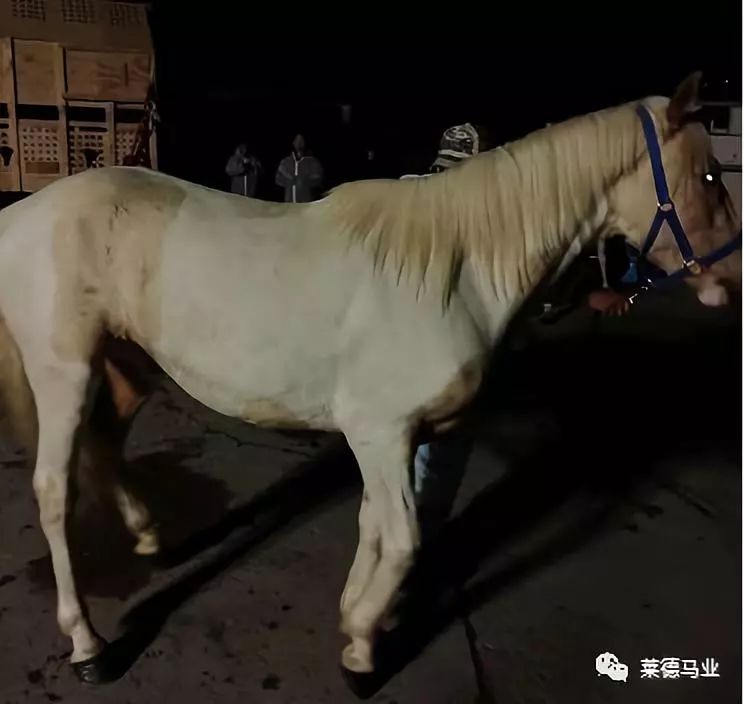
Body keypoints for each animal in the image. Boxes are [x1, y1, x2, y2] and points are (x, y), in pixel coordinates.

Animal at [0, 73, 739, 683]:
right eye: (709, 175)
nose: (728, 280)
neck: (459, 270)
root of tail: (22, 215)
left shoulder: (397, 437)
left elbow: (377, 526)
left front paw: (359, 613)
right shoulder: (381, 433)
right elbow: (403, 537)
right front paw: (361, 644)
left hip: (126, 363)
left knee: (105, 445)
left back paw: (149, 537)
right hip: (63, 371)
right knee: (55, 492)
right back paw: (88, 645)